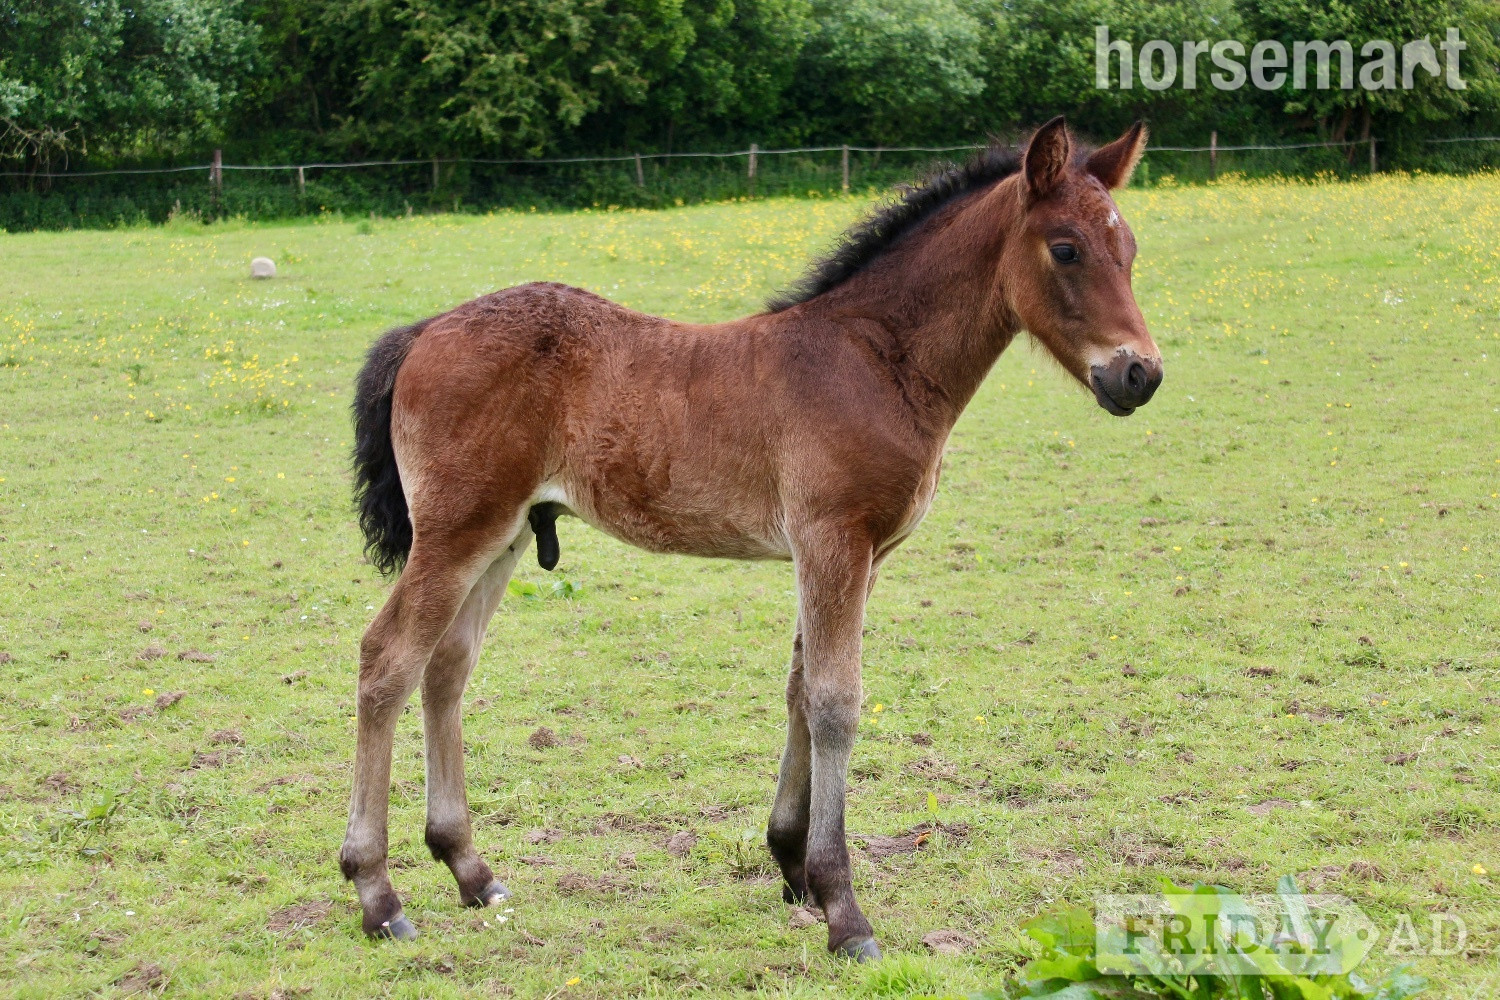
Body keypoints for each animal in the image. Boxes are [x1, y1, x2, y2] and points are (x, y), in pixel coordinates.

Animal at [339, 116, 1163, 959]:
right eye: (1066, 249)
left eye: (1129, 249)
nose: (1140, 374)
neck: (874, 360)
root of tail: (424, 331)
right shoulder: (834, 539)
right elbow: (835, 701)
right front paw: (844, 909)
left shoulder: (855, 555)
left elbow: (801, 688)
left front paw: (793, 865)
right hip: (456, 531)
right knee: (387, 659)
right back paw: (377, 893)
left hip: (501, 539)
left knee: (446, 668)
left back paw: (470, 869)